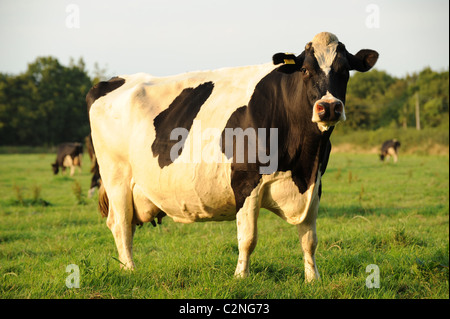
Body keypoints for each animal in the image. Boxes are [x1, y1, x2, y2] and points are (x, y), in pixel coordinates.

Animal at [87, 31, 376, 282]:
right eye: (305, 70)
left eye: (344, 70)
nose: (328, 107)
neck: (303, 159)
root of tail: (113, 81)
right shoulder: (245, 181)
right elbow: (247, 238)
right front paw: (241, 277)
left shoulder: (314, 183)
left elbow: (309, 239)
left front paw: (312, 279)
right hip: (116, 177)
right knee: (121, 224)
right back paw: (129, 269)